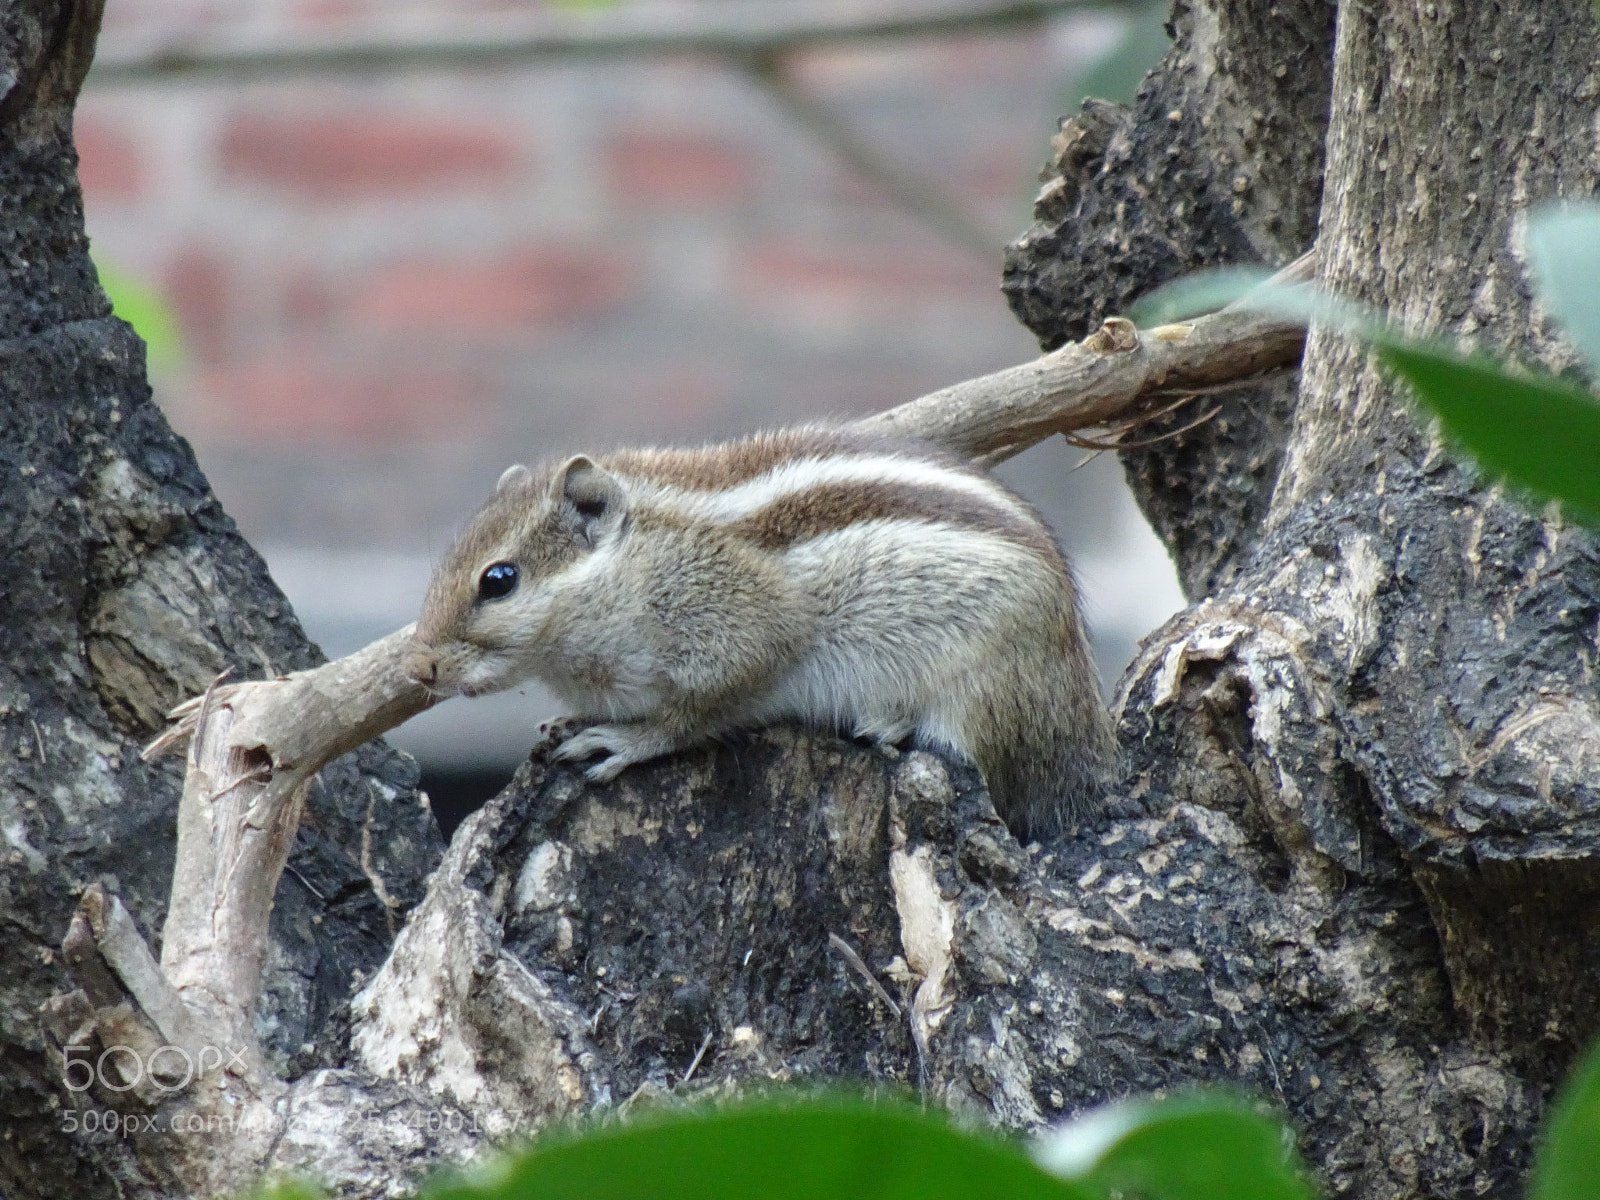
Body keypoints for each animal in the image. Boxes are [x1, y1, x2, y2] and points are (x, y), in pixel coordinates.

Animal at [404, 424, 1115, 840]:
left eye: (499, 579)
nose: (418, 668)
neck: (635, 565)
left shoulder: (743, 639)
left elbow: (691, 716)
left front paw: (624, 741)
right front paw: (570, 721)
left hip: (983, 686)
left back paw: (890, 722)